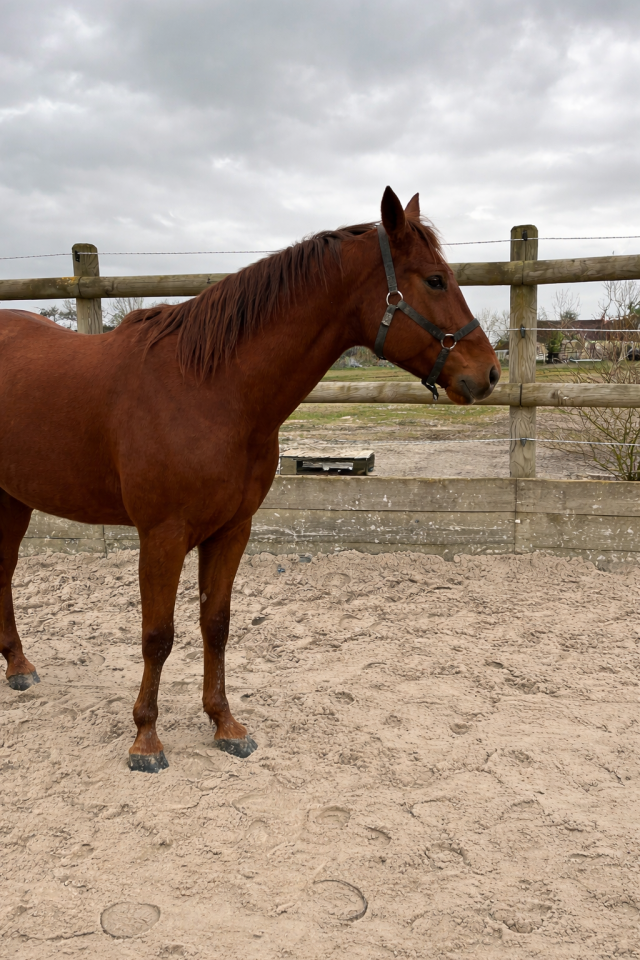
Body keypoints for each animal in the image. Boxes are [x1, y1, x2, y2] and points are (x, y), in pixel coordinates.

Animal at [0, 187, 500, 772]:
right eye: (436, 280)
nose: (488, 373)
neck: (212, 388)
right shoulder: (162, 536)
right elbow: (157, 635)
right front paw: (146, 739)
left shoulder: (232, 530)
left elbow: (215, 626)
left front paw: (224, 724)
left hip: (13, 499)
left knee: (4, 573)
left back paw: (18, 667)